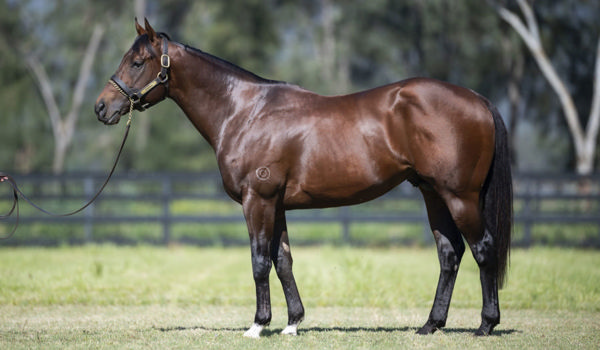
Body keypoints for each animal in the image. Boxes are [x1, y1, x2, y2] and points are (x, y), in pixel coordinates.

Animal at [94, 19, 510, 340]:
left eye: (137, 62)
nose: (101, 107)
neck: (244, 112)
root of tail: (478, 100)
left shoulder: (258, 200)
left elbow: (259, 260)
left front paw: (258, 325)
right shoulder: (276, 204)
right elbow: (283, 261)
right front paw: (293, 323)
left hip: (459, 196)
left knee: (483, 248)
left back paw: (485, 325)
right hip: (432, 194)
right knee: (449, 254)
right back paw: (430, 325)